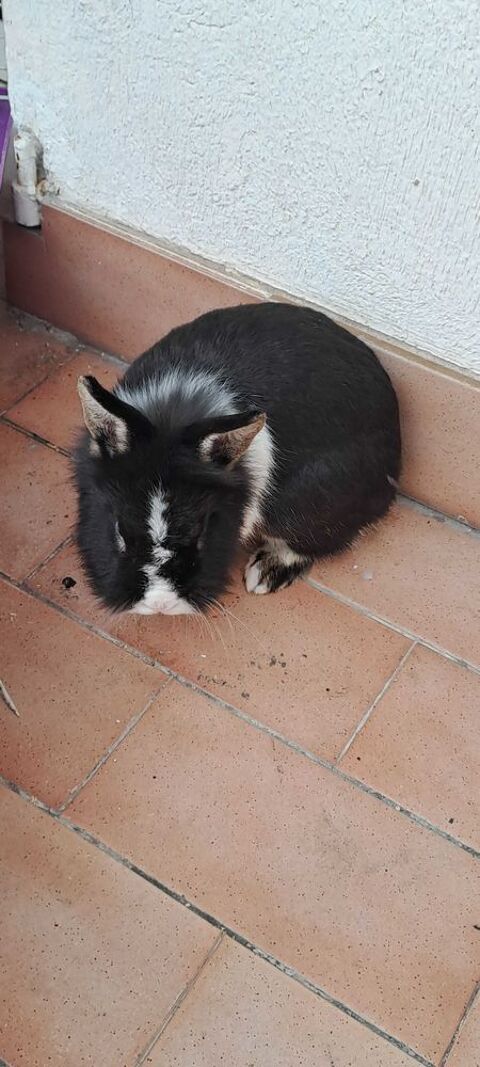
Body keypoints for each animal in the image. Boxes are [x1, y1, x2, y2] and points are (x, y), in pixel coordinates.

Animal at [74, 302, 401, 616]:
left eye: (201, 532)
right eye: (119, 530)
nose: (160, 605)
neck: (173, 414)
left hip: (311, 505)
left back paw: (265, 573)